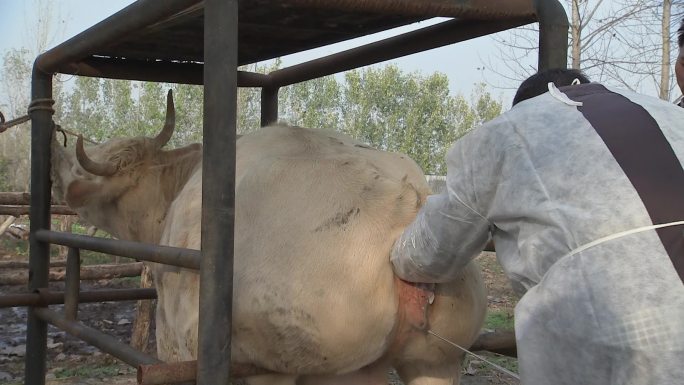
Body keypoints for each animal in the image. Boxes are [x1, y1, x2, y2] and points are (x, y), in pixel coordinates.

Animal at [50, 90, 486, 384]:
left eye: (86, 168)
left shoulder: (175, 340)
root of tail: (402, 205)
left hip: (275, 365)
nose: (57, 165)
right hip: (433, 361)